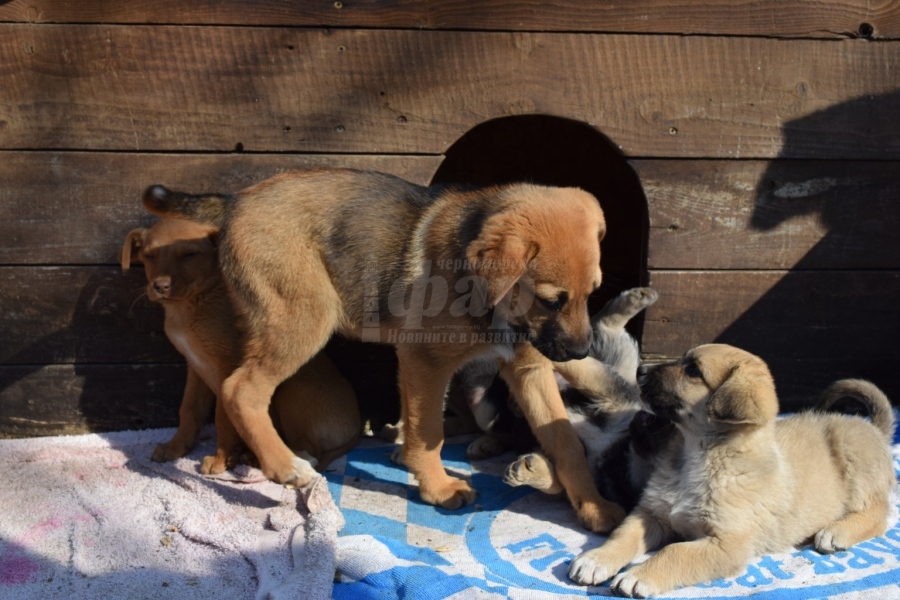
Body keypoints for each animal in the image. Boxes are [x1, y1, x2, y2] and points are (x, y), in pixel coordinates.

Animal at [121, 218, 360, 472]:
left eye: (189, 255)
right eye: (149, 255)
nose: (160, 286)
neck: (193, 304)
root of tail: (356, 429)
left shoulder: (227, 366)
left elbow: (223, 416)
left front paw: (221, 458)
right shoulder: (195, 367)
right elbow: (189, 409)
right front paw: (176, 448)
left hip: (293, 387)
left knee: (308, 450)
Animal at [568, 344, 892, 596]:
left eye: (693, 371)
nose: (640, 371)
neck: (698, 456)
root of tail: (872, 427)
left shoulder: (727, 544)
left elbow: (675, 551)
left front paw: (639, 575)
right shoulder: (651, 514)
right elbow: (623, 536)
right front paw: (596, 559)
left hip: (853, 456)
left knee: (880, 514)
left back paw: (837, 532)